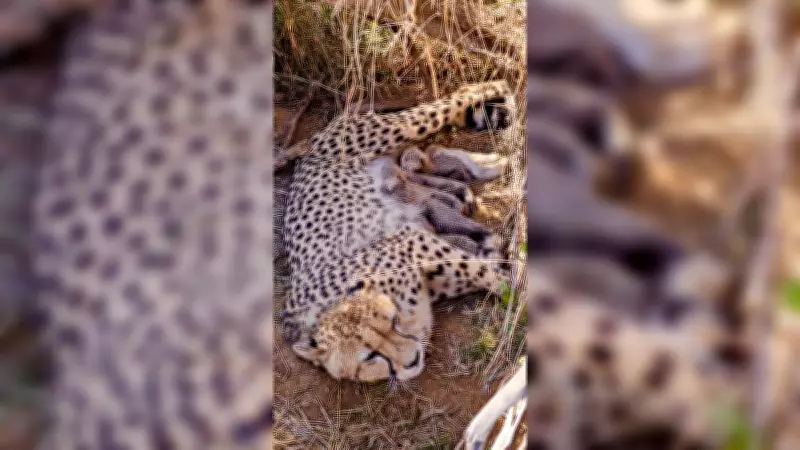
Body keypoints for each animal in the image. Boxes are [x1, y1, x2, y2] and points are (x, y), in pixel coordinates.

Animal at [278, 80, 521, 382]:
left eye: (393, 322)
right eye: (370, 357)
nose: (412, 360)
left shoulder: (411, 241)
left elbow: (480, 270)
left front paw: (517, 288)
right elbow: (477, 263)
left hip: (395, 130)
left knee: (458, 97)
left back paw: (501, 90)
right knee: (436, 147)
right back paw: (495, 163)